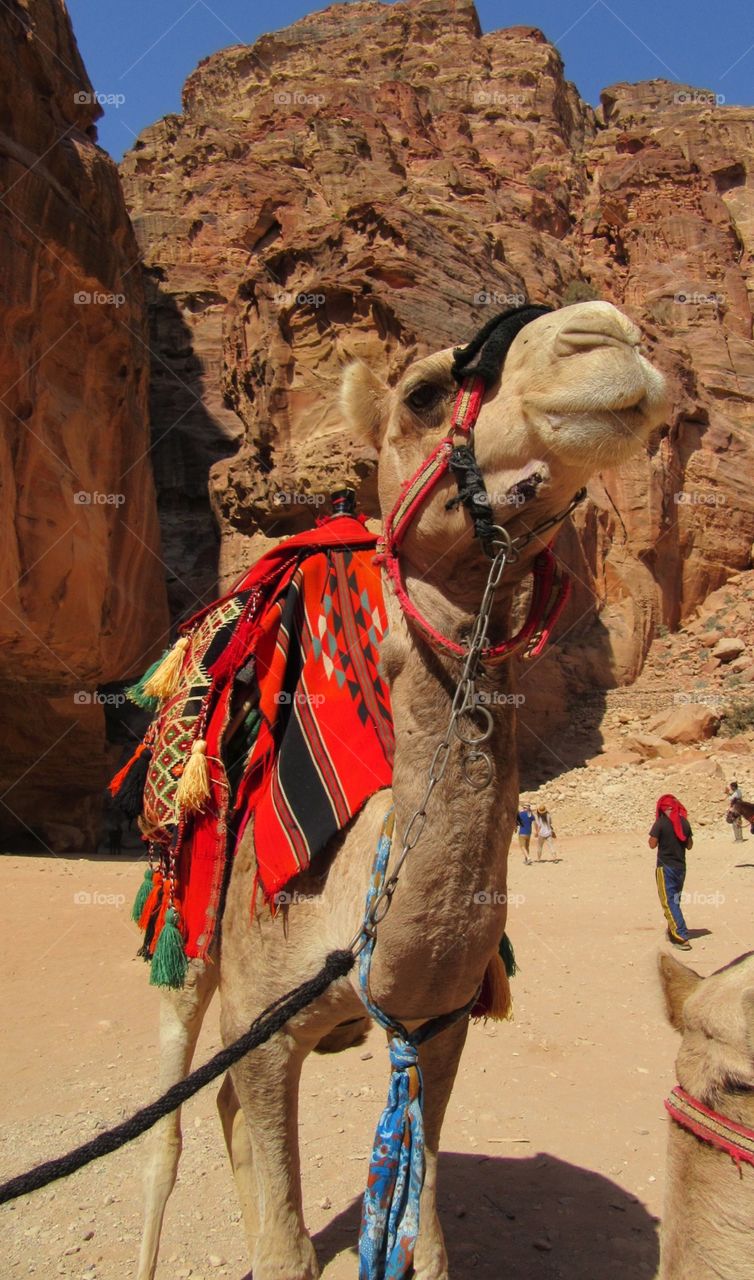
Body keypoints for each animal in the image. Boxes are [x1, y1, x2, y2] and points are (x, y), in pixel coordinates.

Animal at [136, 301, 667, 1280]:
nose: (606, 334)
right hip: (185, 932)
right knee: (168, 1127)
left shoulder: (435, 1029)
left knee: (217, 1112)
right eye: (422, 393)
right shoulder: (266, 1026)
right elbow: (282, 1241)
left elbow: (425, 1237)